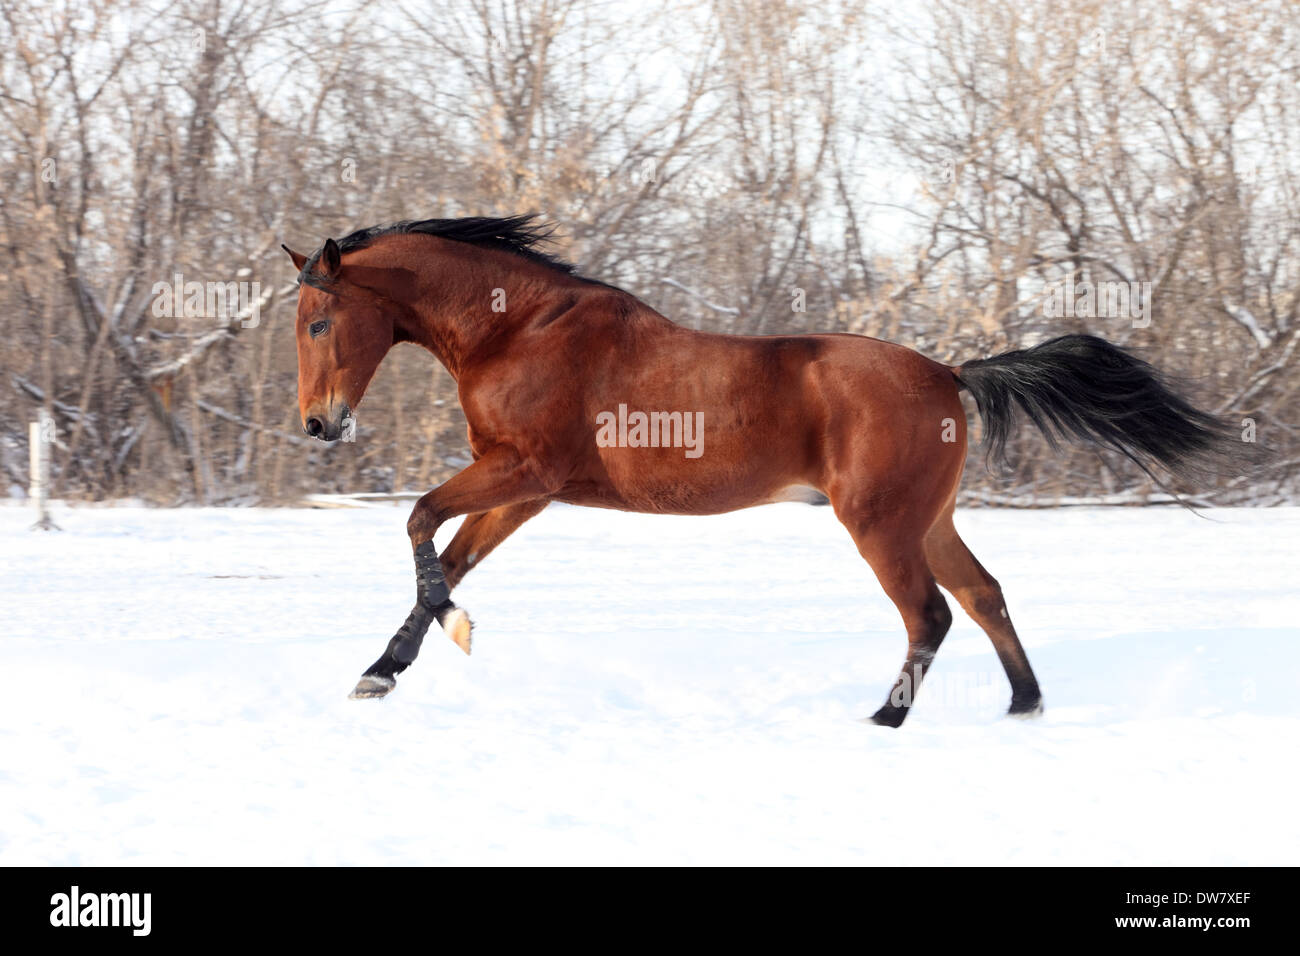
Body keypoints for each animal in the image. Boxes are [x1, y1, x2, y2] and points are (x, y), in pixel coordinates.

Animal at [284, 214, 1237, 723]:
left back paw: (886, 718)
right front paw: (383, 670)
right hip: (929, 519)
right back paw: (1023, 706)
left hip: (880, 525)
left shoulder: (526, 473)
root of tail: (950, 372)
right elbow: (446, 558)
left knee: (930, 613)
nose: (319, 424)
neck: (517, 329)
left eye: (319, 322)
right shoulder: (524, 491)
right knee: (984, 594)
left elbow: (419, 522)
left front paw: (448, 635)